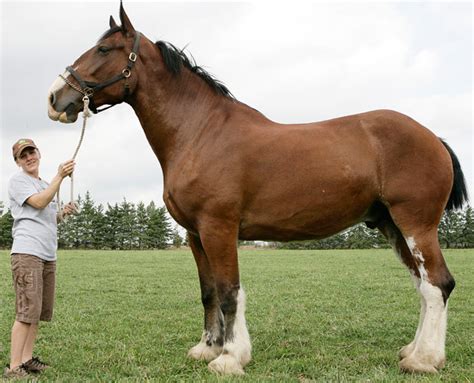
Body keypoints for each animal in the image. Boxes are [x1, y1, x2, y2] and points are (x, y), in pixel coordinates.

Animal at [48, 3, 466, 378]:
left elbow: (230, 291)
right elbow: (209, 292)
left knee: (437, 284)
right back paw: (414, 351)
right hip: (391, 225)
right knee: (424, 286)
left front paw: (230, 358)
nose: (55, 98)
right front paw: (207, 348)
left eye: (104, 50)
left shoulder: (219, 228)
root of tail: (434, 138)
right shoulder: (195, 234)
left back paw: (423, 360)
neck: (199, 132)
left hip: (415, 224)